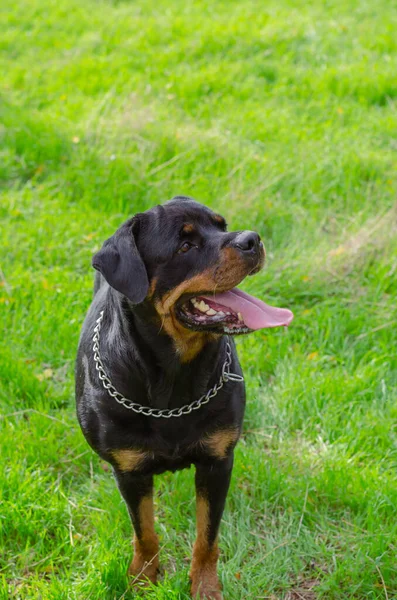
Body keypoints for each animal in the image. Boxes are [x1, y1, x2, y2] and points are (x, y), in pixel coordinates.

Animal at [75, 198, 290, 600]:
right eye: (185, 246)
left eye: (222, 226)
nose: (251, 239)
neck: (173, 386)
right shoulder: (129, 471)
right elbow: (144, 531)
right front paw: (143, 580)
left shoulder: (217, 461)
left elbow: (207, 537)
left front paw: (205, 587)